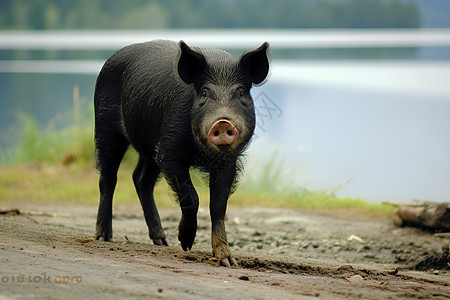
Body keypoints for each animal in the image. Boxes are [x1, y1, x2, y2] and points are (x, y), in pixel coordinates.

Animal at [93, 38, 268, 266]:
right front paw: (186, 244)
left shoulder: (228, 161)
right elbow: (191, 196)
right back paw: (103, 237)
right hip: (105, 126)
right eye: (204, 93)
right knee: (108, 179)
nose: (222, 122)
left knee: (140, 179)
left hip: (149, 148)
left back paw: (161, 241)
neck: (201, 152)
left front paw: (227, 261)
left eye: (240, 93)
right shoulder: (169, 151)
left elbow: (218, 206)